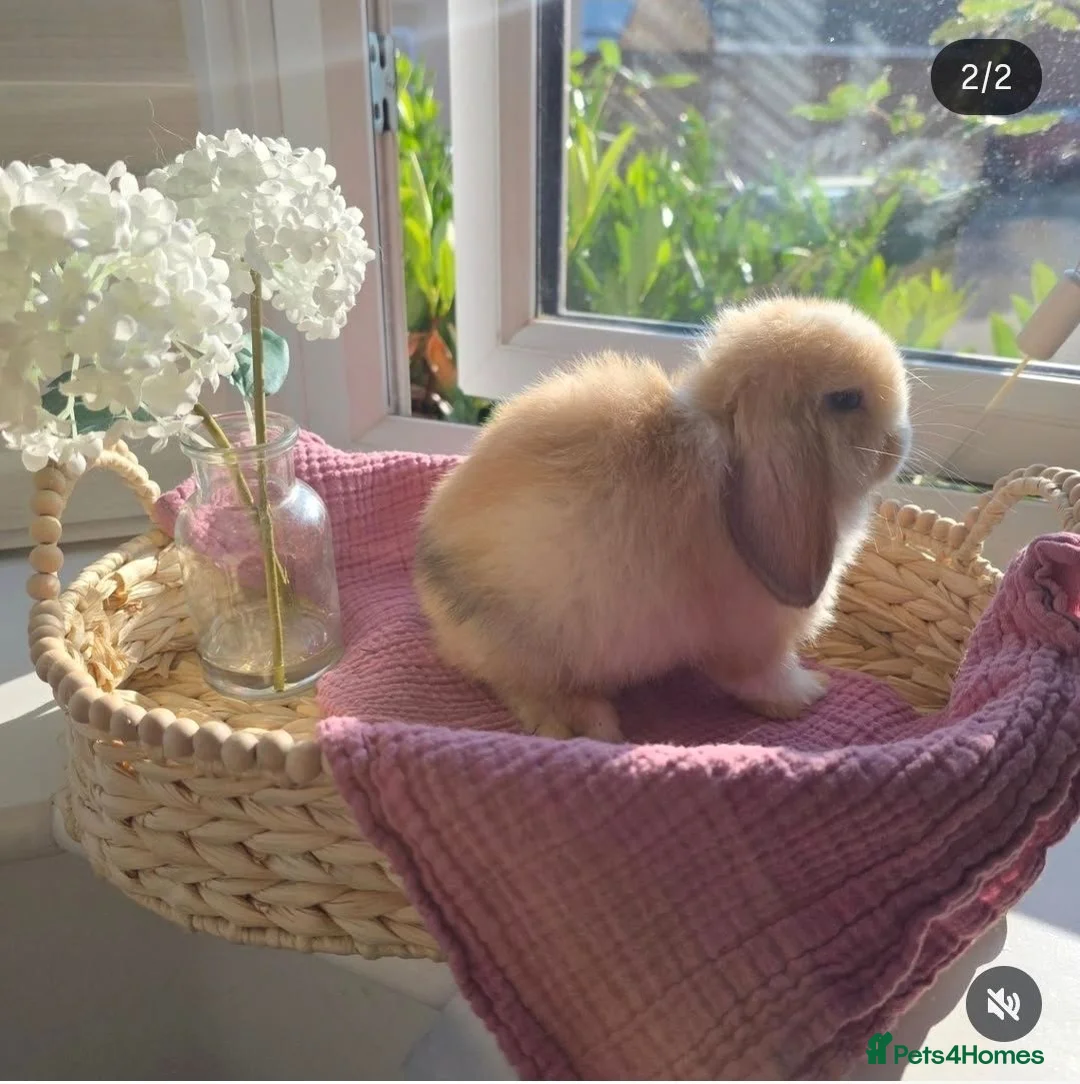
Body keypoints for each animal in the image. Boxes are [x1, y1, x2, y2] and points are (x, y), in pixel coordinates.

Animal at [413, 296, 912, 742]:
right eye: (845, 399)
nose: (899, 442)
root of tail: (434, 583)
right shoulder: (753, 642)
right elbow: (762, 677)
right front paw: (806, 694)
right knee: (522, 687)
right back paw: (586, 723)